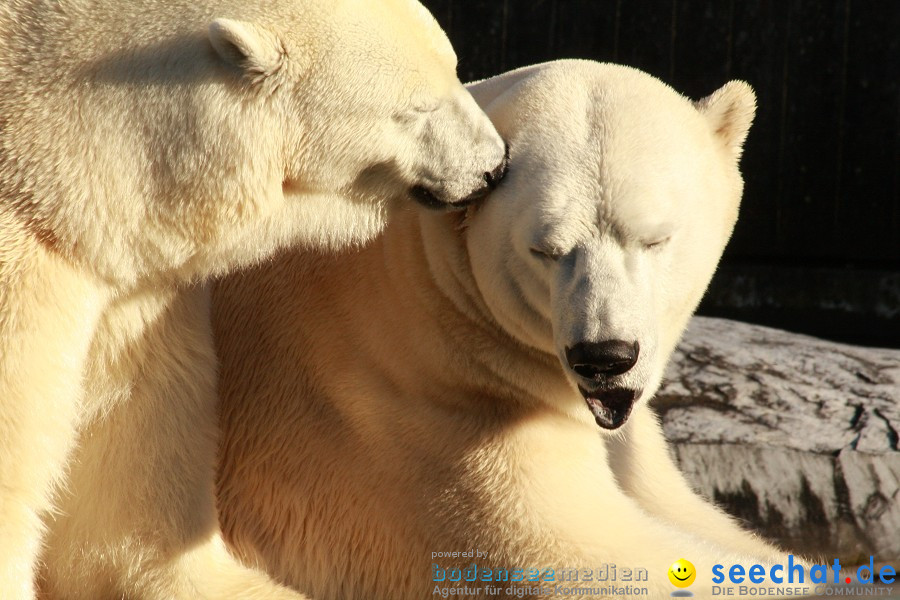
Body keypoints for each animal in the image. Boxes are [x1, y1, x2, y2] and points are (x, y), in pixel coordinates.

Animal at [0, 0, 506, 596]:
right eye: (415, 108)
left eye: (456, 67)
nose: (494, 167)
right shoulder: (26, 278)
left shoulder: (131, 300)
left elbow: (132, 462)